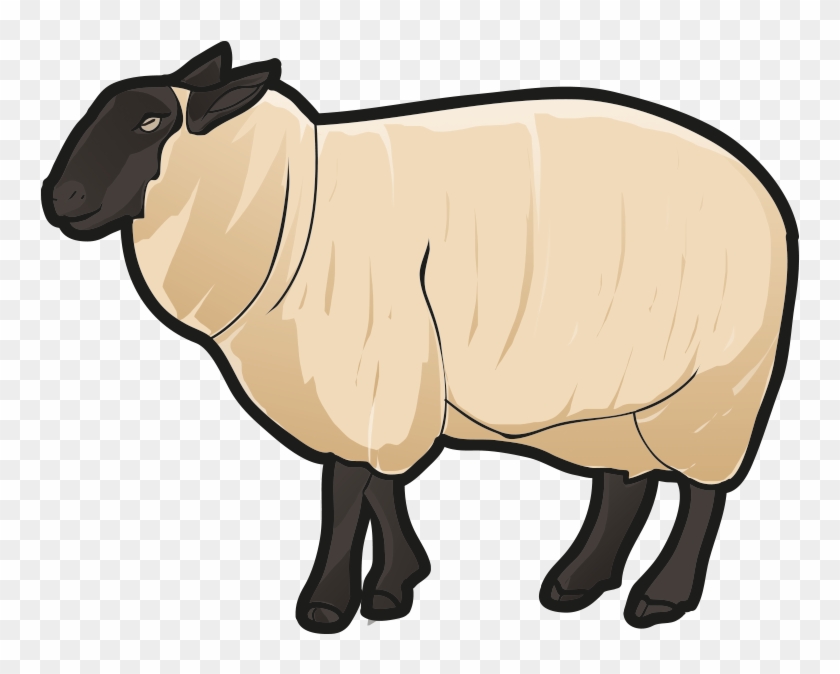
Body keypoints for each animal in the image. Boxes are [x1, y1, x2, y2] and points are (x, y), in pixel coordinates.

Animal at [42, 42, 798, 633]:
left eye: (151, 121)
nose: (61, 200)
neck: (290, 206)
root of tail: (762, 188)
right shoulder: (371, 379)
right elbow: (376, 484)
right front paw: (393, 586)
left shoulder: (369, 363)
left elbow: (351, 486)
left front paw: (330, 605)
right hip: (619, 394)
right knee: (626, 481)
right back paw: (577, 583)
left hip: (715, 388)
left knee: (702, 493)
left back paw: (661, 597)